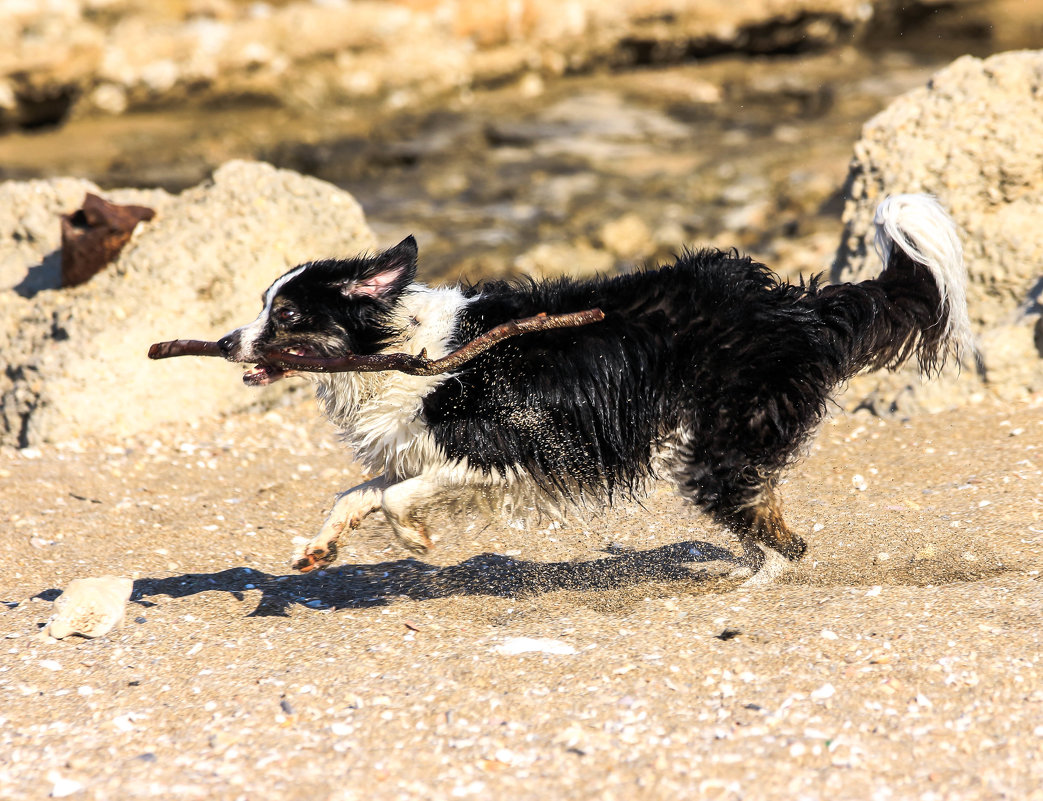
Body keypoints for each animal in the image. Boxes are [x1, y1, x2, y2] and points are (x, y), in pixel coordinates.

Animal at [217, 192, 967, 584]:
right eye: (263, 305)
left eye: (286, 316)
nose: (226, 344)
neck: (403, 350)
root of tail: (795, 306)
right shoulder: (421, 451)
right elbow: (355, 494)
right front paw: (319, 548)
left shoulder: (500, 453)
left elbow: (400, 498)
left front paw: (415, 540)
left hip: (716, 449)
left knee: (782, 535)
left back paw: (756, 582)